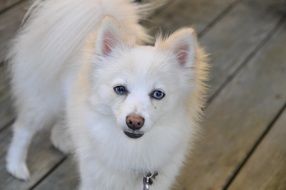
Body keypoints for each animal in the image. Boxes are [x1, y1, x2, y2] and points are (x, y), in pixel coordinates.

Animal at [6, 0, 208, 189]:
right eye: (120, 89)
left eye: (158, 94)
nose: (134, 121)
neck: (132, 149)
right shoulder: (93, 181)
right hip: (43, 102)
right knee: (23, 129)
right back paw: (16, 166)